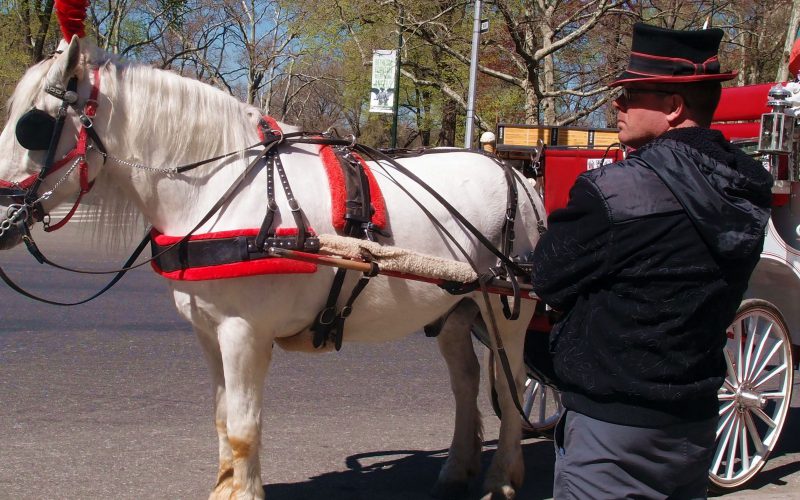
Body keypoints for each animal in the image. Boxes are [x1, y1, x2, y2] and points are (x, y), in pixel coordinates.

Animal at [0, 37, 544, 500]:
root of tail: (517, 174)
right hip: (459, 305)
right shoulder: (208, 331)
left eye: (33, 126)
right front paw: (224, 488)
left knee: (510, 382)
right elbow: (223, 418)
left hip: (507, 309)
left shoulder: (244, 332)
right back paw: (456, 469)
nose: (1, 214)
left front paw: (242, 491)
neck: (221, 186)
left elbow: (243, 427)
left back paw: (502, 477)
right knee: (465, 380)